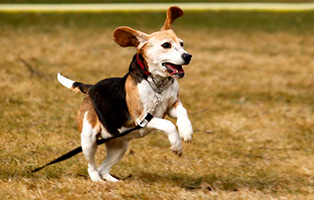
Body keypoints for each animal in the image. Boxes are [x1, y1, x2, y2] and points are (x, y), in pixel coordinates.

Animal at [57, 6, 193, 182]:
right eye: (166, 45)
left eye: (182, 44)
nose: (188, 56)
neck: (157, 84)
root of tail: (91, 88)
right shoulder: (142, 118)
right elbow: (168, 124)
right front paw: (176, 144)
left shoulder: (171, 105)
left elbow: (183, 111)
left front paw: (186, 131)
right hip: (88, 139)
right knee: (92, 167)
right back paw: (97, 180)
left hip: (119, 147)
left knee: (103, 169)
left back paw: (114, 182)